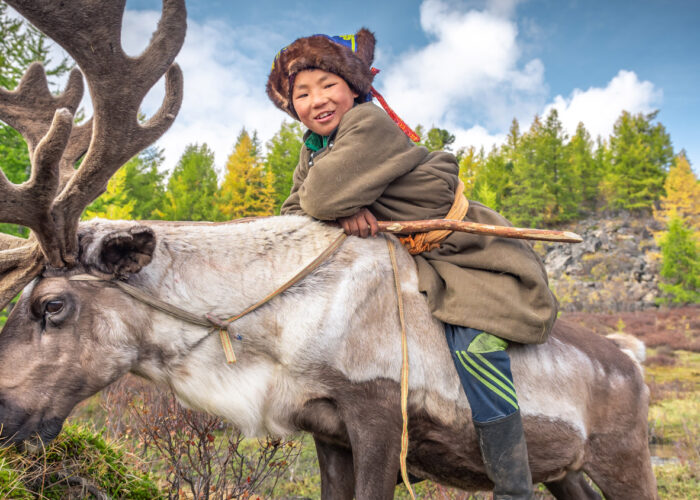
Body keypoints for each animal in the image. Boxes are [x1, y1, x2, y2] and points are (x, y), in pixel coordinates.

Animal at [0, 1, 658, 499]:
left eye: (52, 305)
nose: (2, 419)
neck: (277, 329)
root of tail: (633, 358)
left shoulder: (379, 420)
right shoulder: (328, 431)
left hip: (626, 460)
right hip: (564, 471)